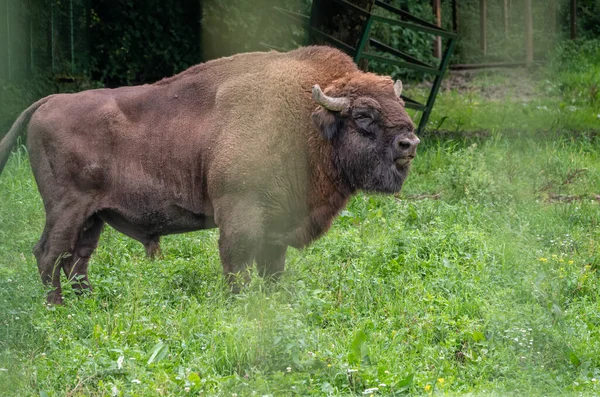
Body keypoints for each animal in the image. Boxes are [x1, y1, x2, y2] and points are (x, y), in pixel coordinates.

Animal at [0, 44, 418, 302]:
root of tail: (49, 101)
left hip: (93, 216)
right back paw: (56, 308)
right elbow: (237, 266)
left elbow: (272, 271)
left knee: (77, 259)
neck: (308, 120)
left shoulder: (277, 227)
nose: (409, 142)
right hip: (66, 208)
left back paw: (85, 304)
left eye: (398, 103)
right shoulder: (240, 215)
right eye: (363, 115)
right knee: (49, 253)